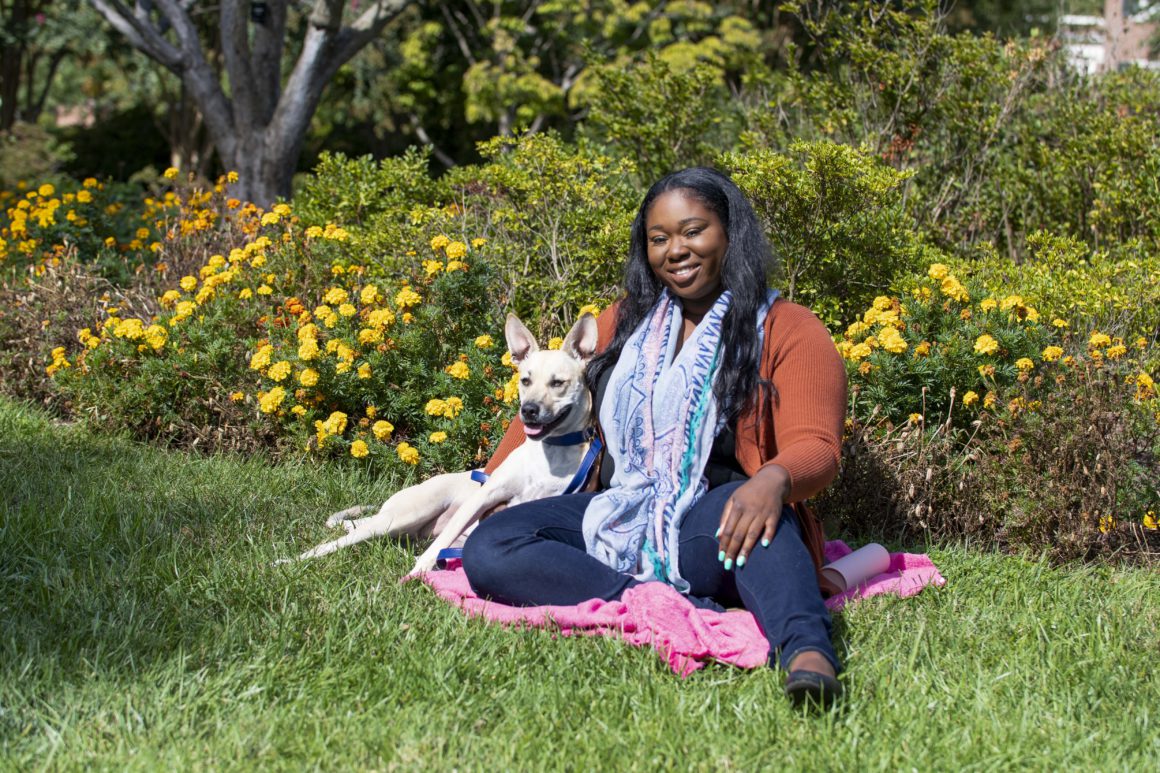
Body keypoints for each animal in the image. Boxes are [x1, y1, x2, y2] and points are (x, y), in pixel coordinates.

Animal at [280, 308, 598, 571]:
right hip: (402, 515)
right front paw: (416, 575)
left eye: (557, 383)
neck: (551, 452)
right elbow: (440, 544)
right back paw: (285, 562)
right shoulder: (484, 497)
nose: (528, 410)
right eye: (525, 380)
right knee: (333, 543)